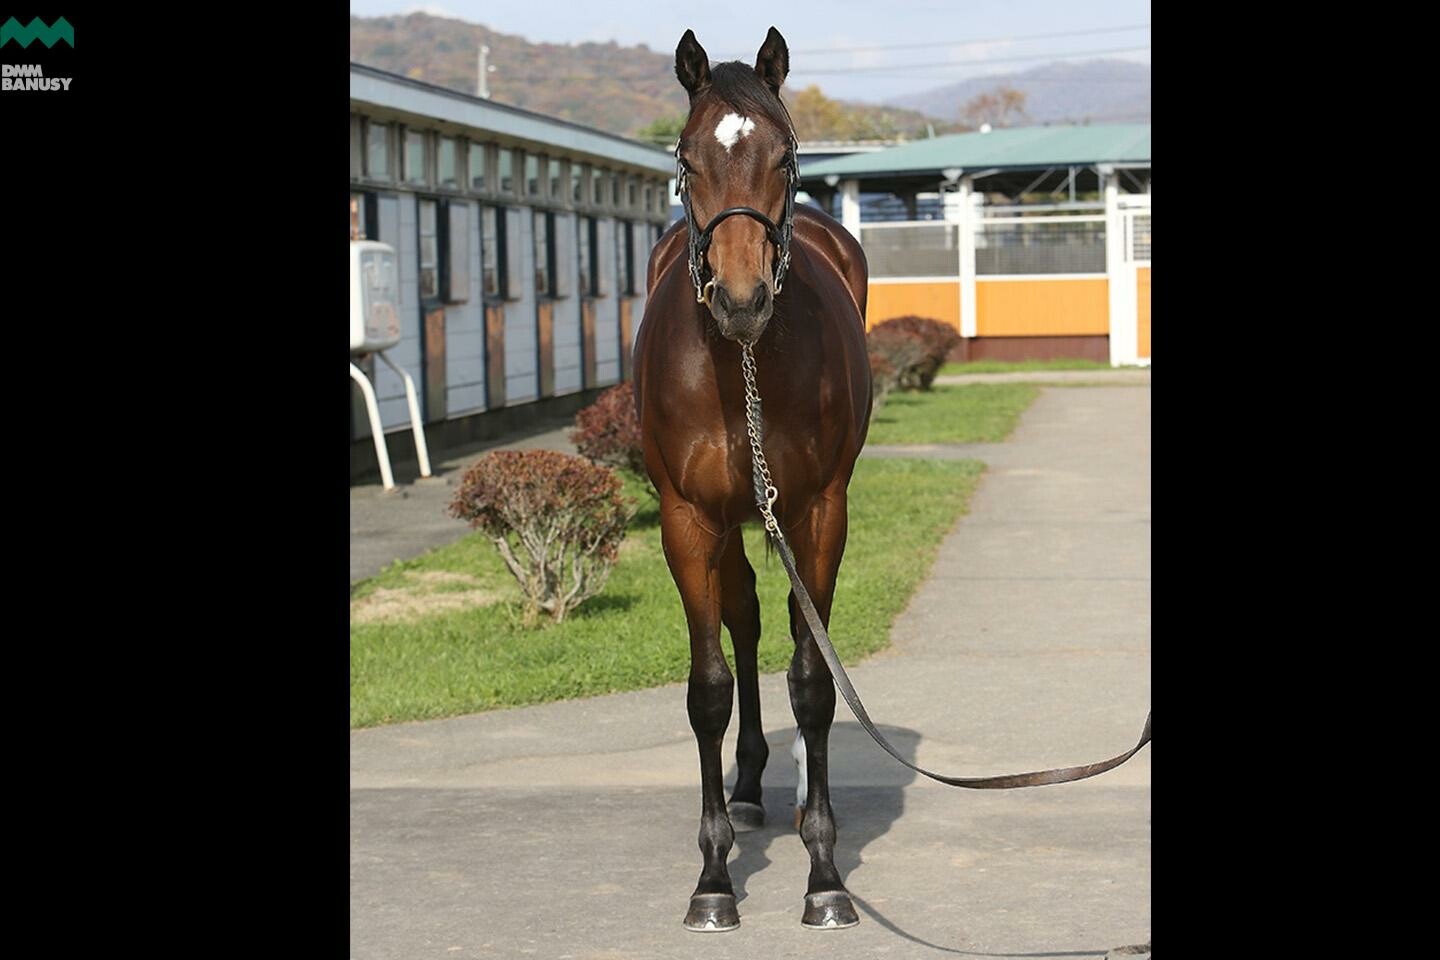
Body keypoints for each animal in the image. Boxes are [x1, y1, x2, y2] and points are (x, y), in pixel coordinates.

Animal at [636, 28, 869, 932]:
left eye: (785, 153)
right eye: (687, 155)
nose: (742, 299)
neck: (741, 362)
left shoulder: (819, 512)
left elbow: (814, 680)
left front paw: (825, 873)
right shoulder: (688, 518)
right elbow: (708, 688)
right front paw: (713, 880)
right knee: (743, 619)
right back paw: (744, 787)